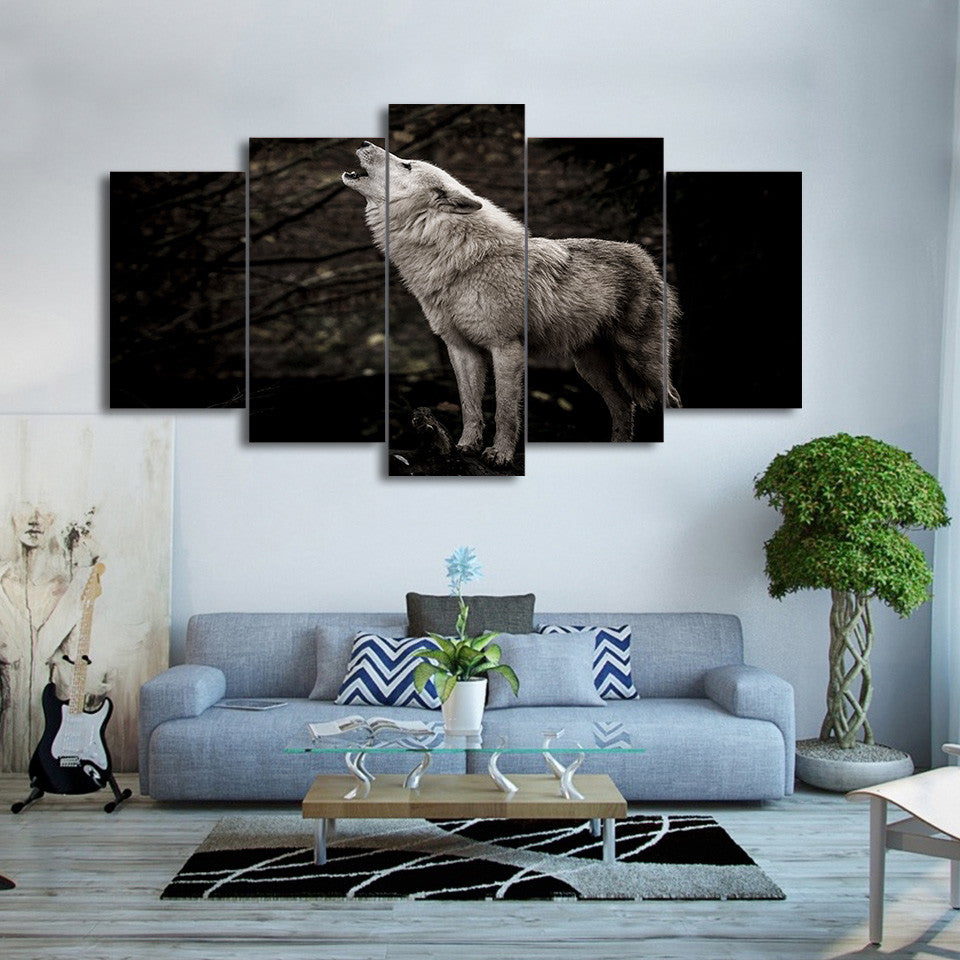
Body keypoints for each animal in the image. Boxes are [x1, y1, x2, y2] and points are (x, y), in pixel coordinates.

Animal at [343, 141, 679, 464]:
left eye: (406, 165)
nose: (364, 142)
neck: (459, 259)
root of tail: (645, 257)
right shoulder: (461, 349)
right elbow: (470, 406)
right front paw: (465, 446)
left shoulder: (506, 347)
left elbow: (505, 411)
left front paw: (500, 455)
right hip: (589, 366)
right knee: (624, 405)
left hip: (642, 361)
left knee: (670, 399)